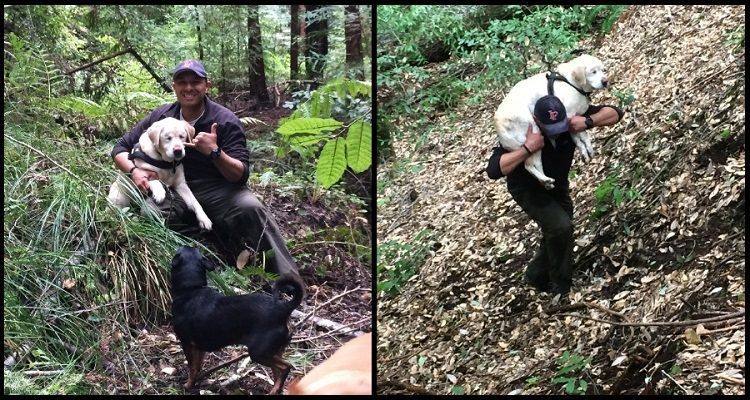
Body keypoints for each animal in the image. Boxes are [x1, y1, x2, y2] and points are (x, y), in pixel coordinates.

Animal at [171, 245, 306, 392]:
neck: (191, 289)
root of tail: (283, 308)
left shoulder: (187, 343)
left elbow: (192, 368)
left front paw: (188, 386)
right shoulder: (199, 347)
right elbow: (197, 367)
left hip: (259, 352)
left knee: (285, 367)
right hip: (275, 351)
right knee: (278, 372)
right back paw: (275, 390)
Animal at [494, 54, 612, 189]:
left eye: (603, 70)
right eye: (593, 72)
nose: (605, 81)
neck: (571, 83)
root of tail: (498, 124)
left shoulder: (577, 119)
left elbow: (581, 137)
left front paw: (586, 151)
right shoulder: (569, 117)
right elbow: (580, 137)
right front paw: (585, 149)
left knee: (536, 165)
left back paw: (547, 182)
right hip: (533, 132)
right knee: (528, 165)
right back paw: (545, 179)